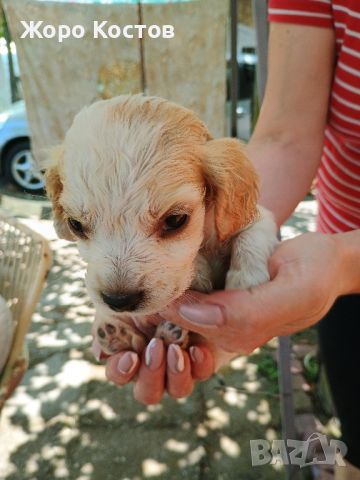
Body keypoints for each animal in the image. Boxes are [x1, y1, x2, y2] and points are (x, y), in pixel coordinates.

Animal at [45, 94, 278, 360]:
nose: (119, 301)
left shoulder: (258, 217)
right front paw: (200, 270)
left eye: (175, 220)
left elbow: (251, 236)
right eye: (75, 225)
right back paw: (120, 336)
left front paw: (245, 279)